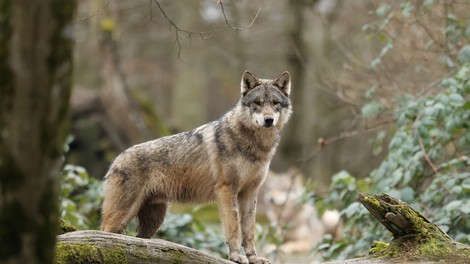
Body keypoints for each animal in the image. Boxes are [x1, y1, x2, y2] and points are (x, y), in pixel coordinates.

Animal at [101, 70, 292, 264]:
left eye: (275, 103)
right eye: (257, 103)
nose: (268, 120)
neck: (256, 146)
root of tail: (116, 159)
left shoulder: (250, 192)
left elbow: (249, 230)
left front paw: (253, 258)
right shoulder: (226, 190)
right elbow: (233, 228)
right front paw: (235, 256)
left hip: (152, 222)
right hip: (123, 216)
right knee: (102, 235)